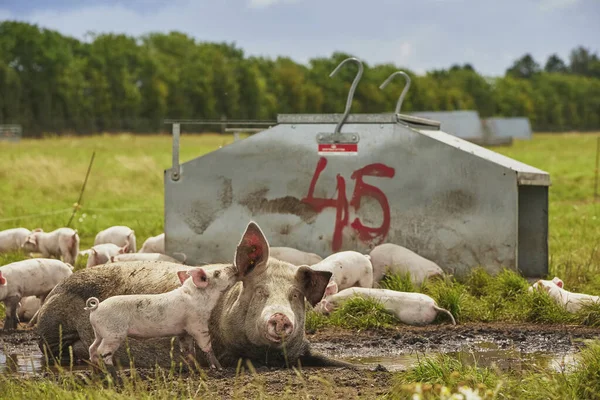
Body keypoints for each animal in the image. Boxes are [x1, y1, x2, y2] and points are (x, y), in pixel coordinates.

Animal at [85, 264, 239, 370]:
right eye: (217, 273)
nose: (233, 266)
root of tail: (96, 307)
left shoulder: (184, 331)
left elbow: (188, 350)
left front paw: (194, 368)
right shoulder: (197, 324)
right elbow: (206, 346)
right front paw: (218, 368)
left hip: (99, 333)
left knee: (92, 348)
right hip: (113, 334)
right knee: (102, 351)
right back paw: (112, 371)